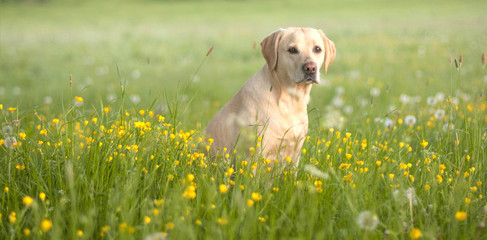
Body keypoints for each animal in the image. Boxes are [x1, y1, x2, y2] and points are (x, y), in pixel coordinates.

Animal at [205, 27, 336, 169]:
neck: (290, 102)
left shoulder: (295, 155)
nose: (311, 68)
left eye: (317, 49)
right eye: (292, 50)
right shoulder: (252, 156)